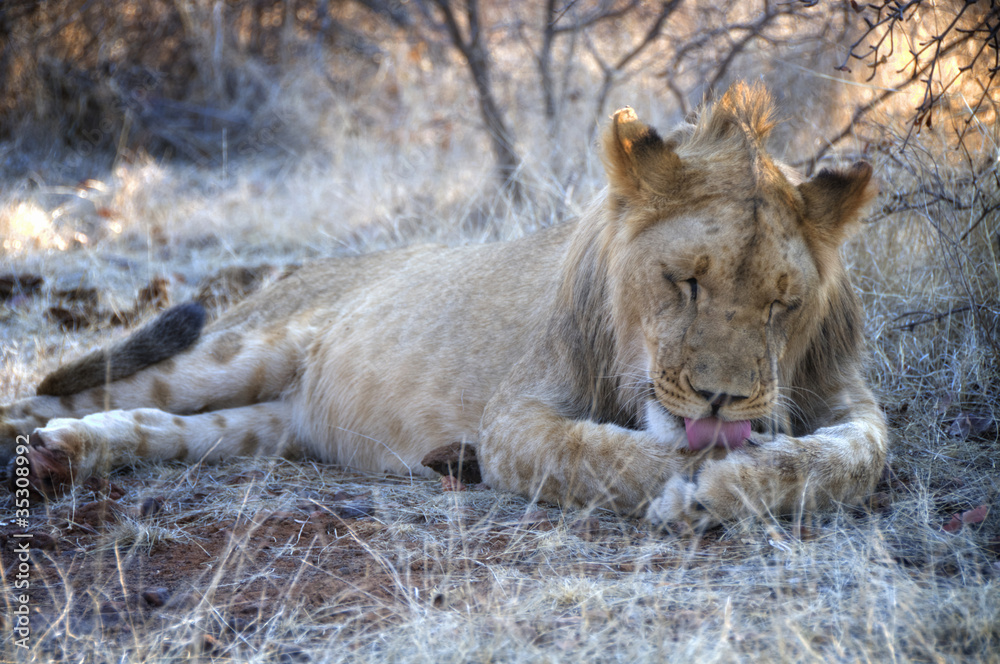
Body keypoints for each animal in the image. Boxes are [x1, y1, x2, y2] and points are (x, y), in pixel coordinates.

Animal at [1, 82, 887, 528]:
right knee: (48, 394)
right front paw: (697, 484)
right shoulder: (515, 420)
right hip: (237, 350)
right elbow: (613, 455)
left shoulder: (845, 396)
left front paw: (738, 482)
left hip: (266, 428)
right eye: (685, 281)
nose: (721, 400)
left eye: (782, 304)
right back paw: (38, 446)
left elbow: (853, 459)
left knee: (160, 426)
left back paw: (71, 453)